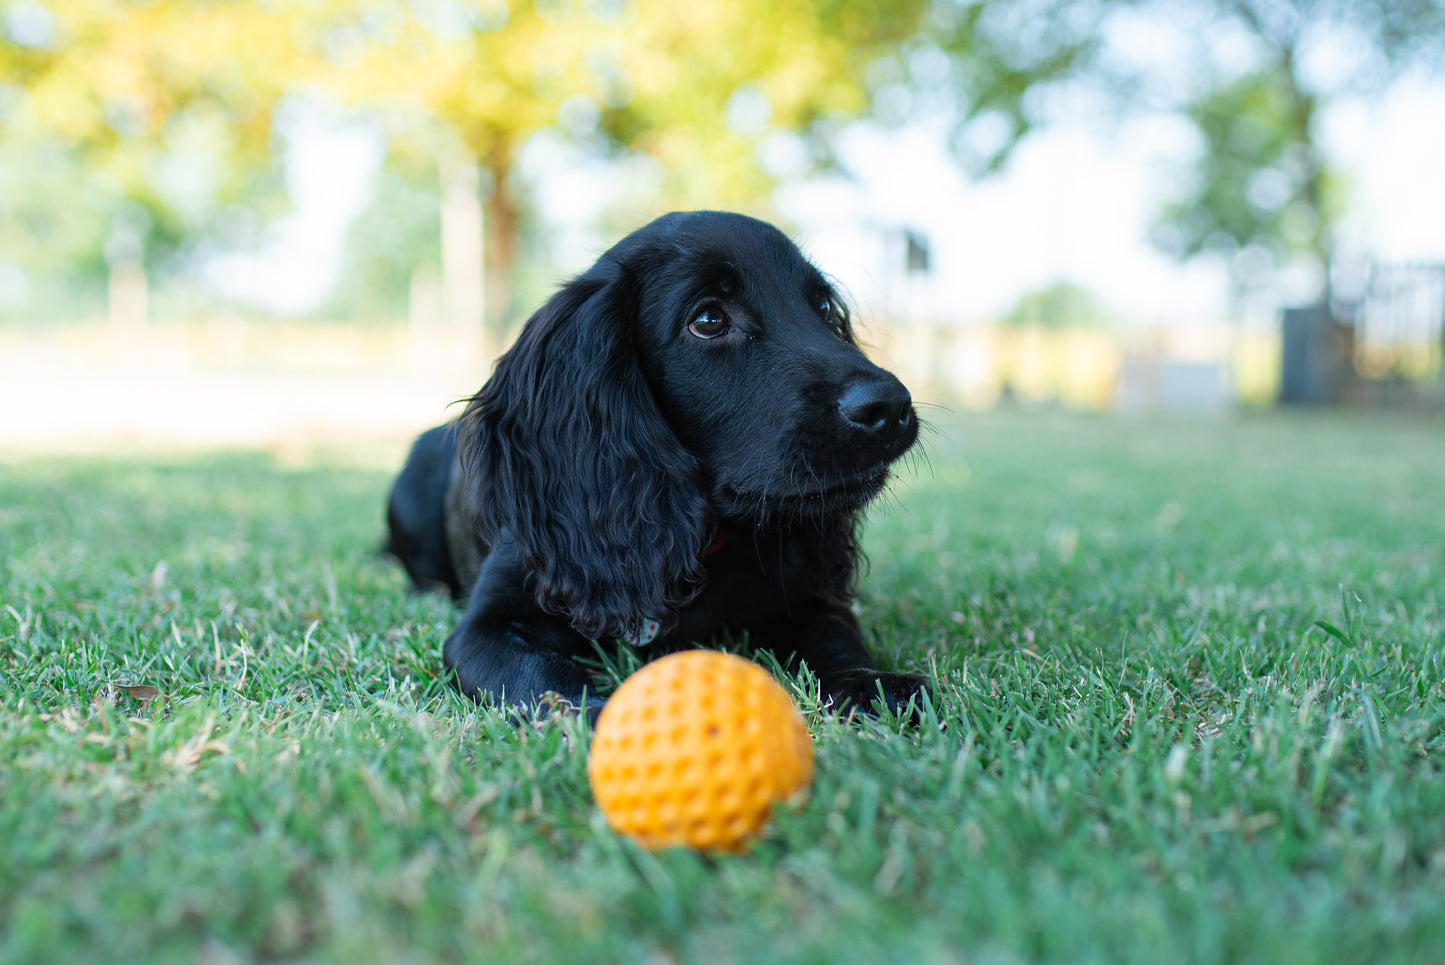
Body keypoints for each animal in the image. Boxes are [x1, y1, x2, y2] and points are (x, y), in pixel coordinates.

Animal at [384, 209, 924, 716]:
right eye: (708, 320)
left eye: (824, 306)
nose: (890, 407)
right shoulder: (487, 627)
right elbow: (540, 673)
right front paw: (590, 718)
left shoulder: (808, 597)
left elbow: (836, 634)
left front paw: (868, 685)